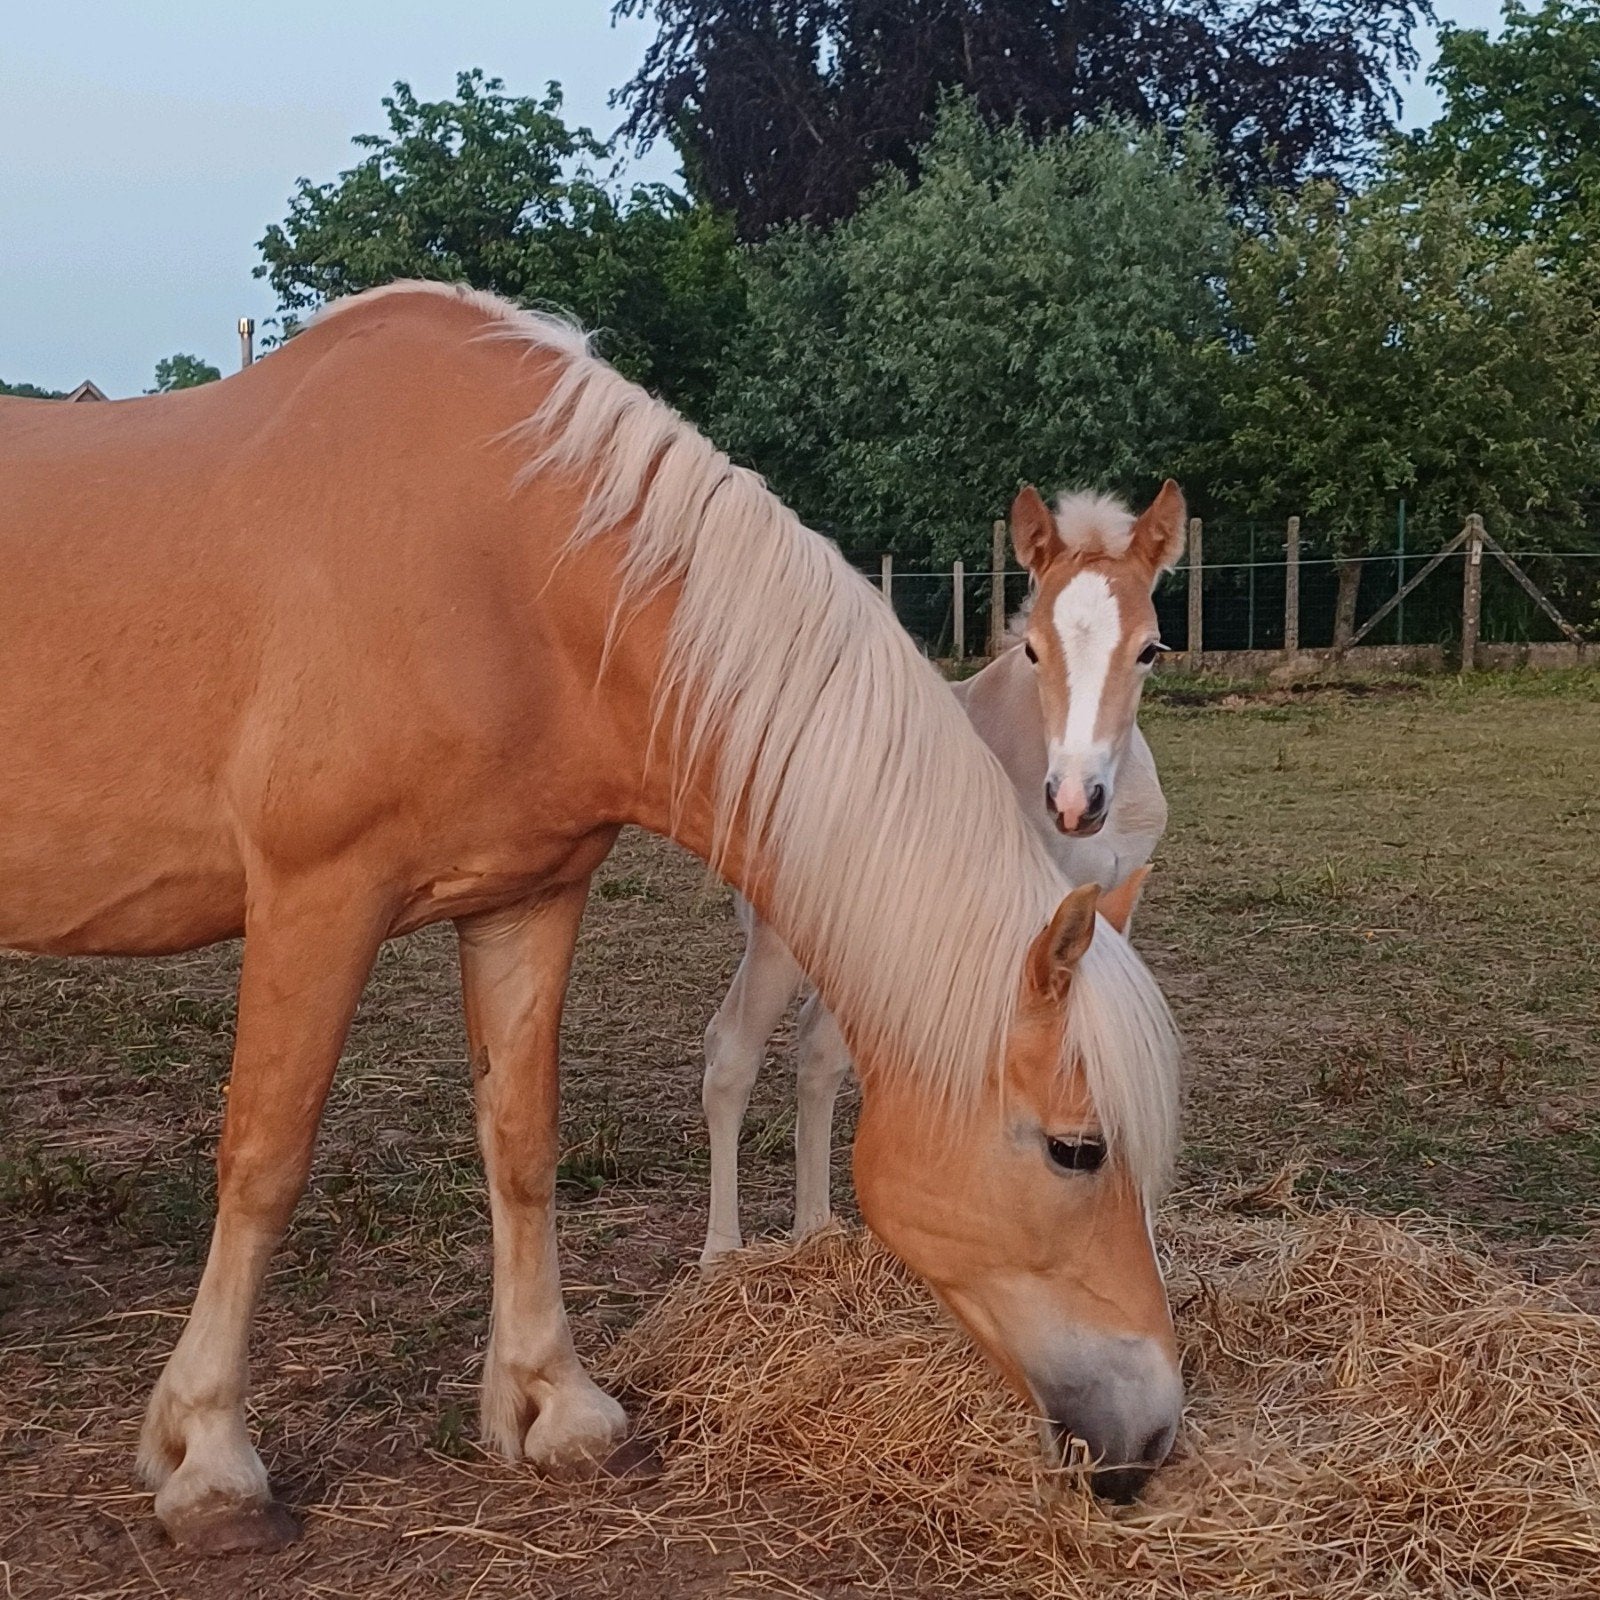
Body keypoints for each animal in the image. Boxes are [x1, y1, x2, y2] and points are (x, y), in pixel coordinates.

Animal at [700, 484, 1184, 1262]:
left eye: (1149, 650)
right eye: (1032, 648)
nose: (1075, 801)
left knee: (816, 1052)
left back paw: (817, 1231)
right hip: (784, 936)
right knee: (732, 1055)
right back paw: (722, 1255)